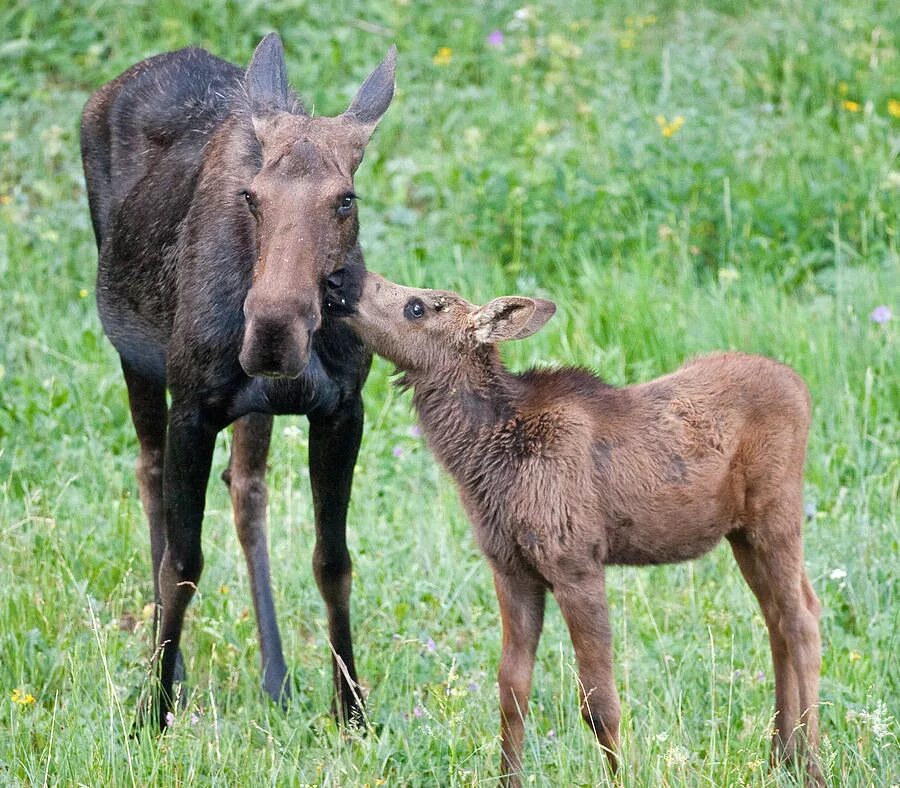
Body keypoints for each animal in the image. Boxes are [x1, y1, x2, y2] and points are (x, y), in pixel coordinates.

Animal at [79, 35, 396, 728]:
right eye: (252, 196)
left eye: (346, 198)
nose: (273, 331)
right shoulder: (193, 409)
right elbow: (183, 563)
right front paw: (153, 711)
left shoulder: (343, 410)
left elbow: (333, 562)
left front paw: (352, 711)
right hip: (137, 358)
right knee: (148, 473)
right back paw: (170, 669)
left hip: (255, 409)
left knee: (246, 487)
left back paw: (274, 676)